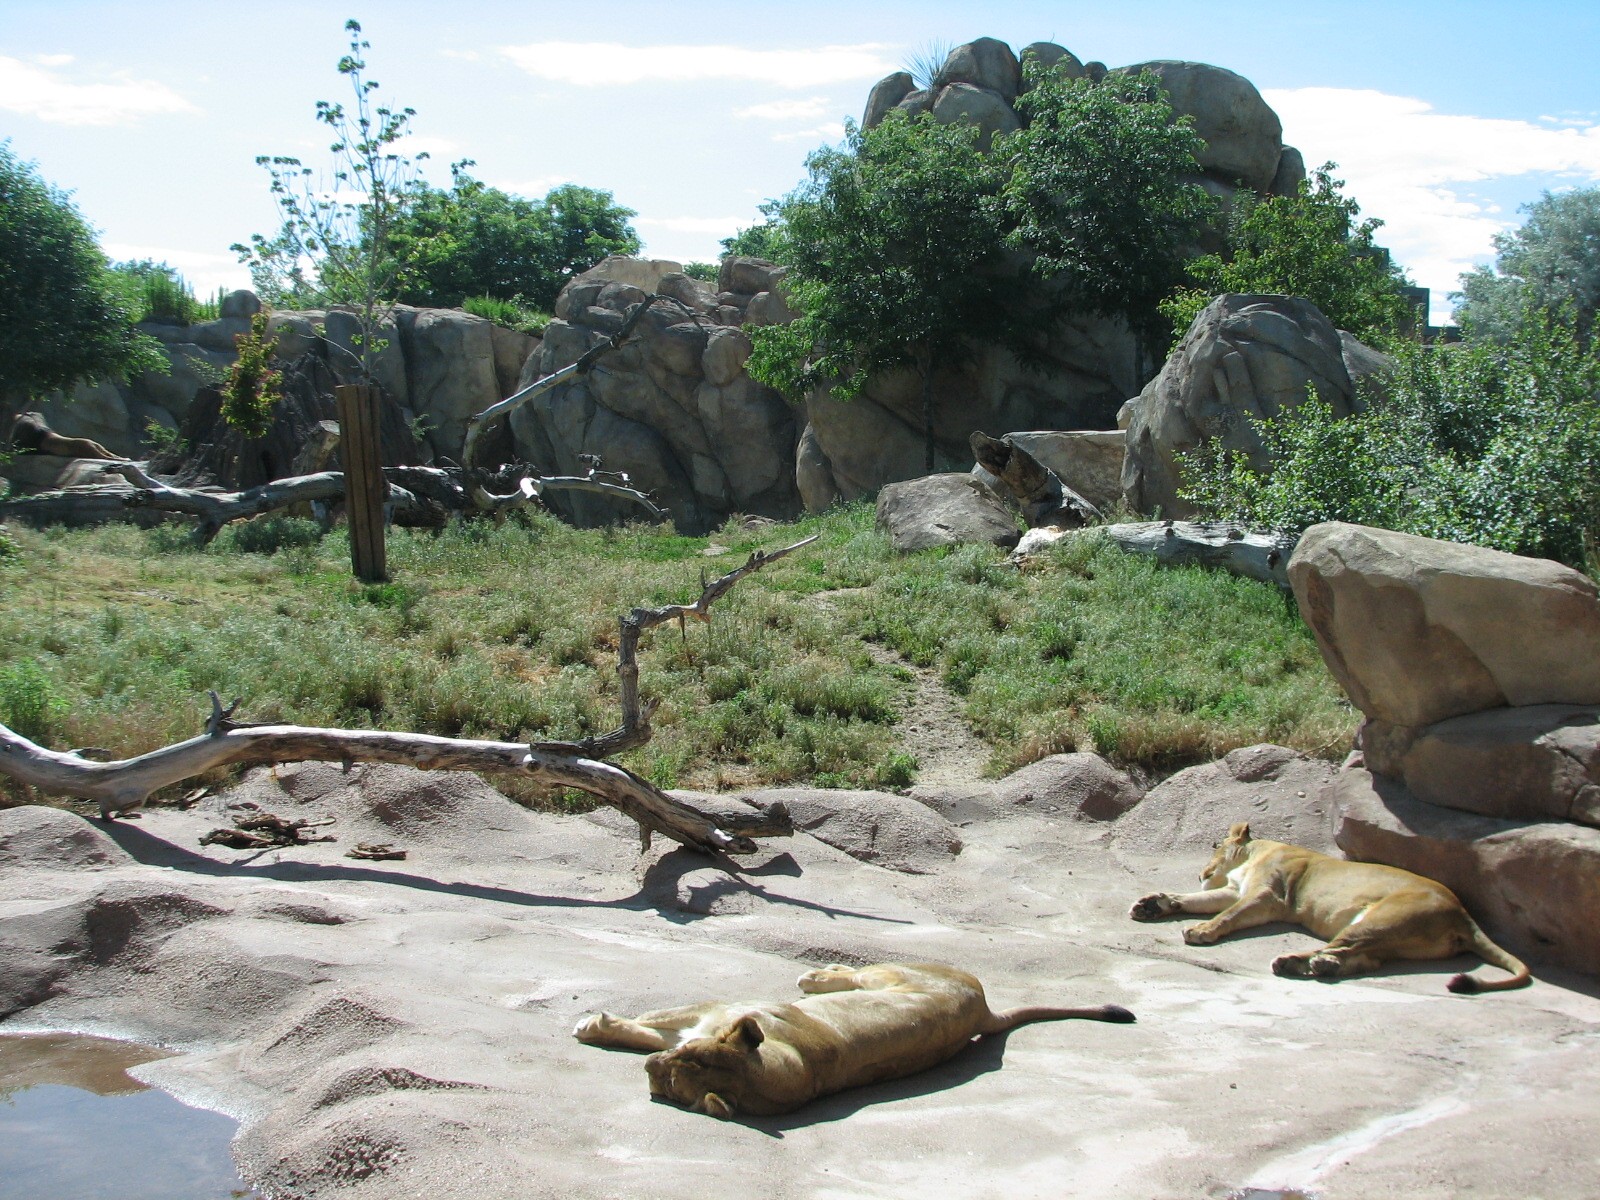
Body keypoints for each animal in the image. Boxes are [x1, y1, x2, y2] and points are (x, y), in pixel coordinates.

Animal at [573, 961, 1135, 1119]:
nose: (652, 1072)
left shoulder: (714, 1010)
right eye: (684, 1058)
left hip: (890, 972)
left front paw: (592, 1026)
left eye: (671, 1087)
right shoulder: (704, 1021)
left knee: (852, 972)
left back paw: (814, 977)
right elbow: (649, 1028)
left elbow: (645, 1022)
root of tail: (982, 1006)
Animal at [1130, 822, 1530, 993]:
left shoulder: (1267, 896)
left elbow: (1226, 915)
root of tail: (1464, 914)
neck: (1256, 853)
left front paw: (1201, 930)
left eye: (1214, 845)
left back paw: (1293, 963)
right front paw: (1156, 904)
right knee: (1366, 960)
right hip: (1388, 936)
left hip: (1380, 919)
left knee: (1344, 948)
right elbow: (1198, 901)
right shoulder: (1234, 890)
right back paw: (1319, 966)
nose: (1201, 872)